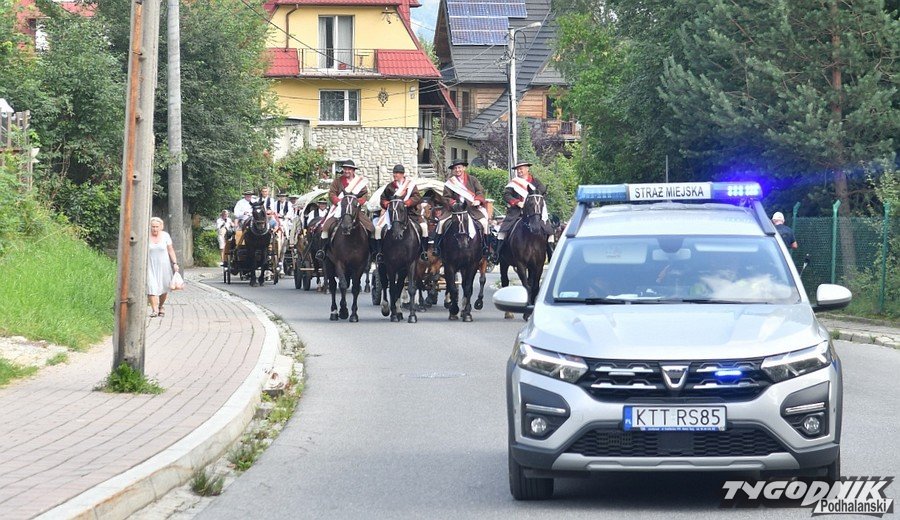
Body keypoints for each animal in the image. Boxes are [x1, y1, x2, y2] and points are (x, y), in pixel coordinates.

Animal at [498, 191, 550, 319]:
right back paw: (508, 313)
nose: (536, 227)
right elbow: (526, 287)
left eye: (542, 204)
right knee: (505, 281)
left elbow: (535, 286)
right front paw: (526, 313)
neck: (531, 237)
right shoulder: (521, 264)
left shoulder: (538, 265)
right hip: (504, 262)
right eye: (530, 203)